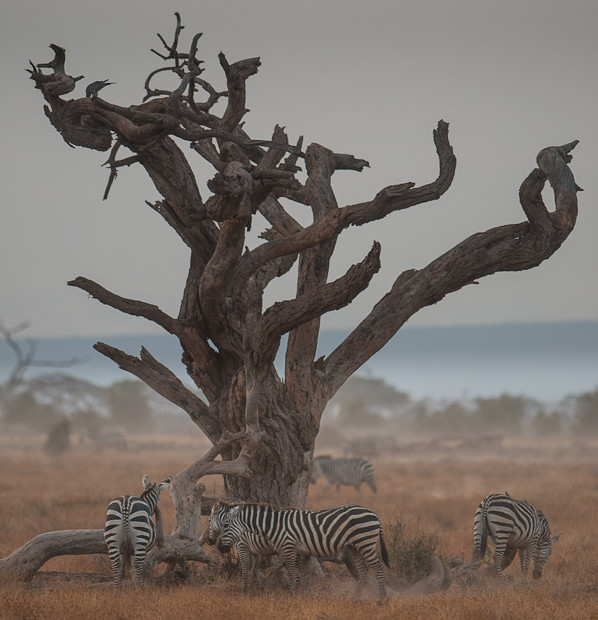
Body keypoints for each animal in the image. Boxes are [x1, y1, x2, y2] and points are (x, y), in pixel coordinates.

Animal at [210, 504, 390, 600]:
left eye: (225, 525)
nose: (219, 547)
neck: (273, 525)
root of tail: (374, 514)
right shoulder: (292, 549)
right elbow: (295, 571)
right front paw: (297, 592)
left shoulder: (288, 547)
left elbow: (290, 571)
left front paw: (292, 594)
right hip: (355, 546)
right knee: (363, 569)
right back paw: (356, 598)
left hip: (365, 542)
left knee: (378, 567)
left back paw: (382, 600)